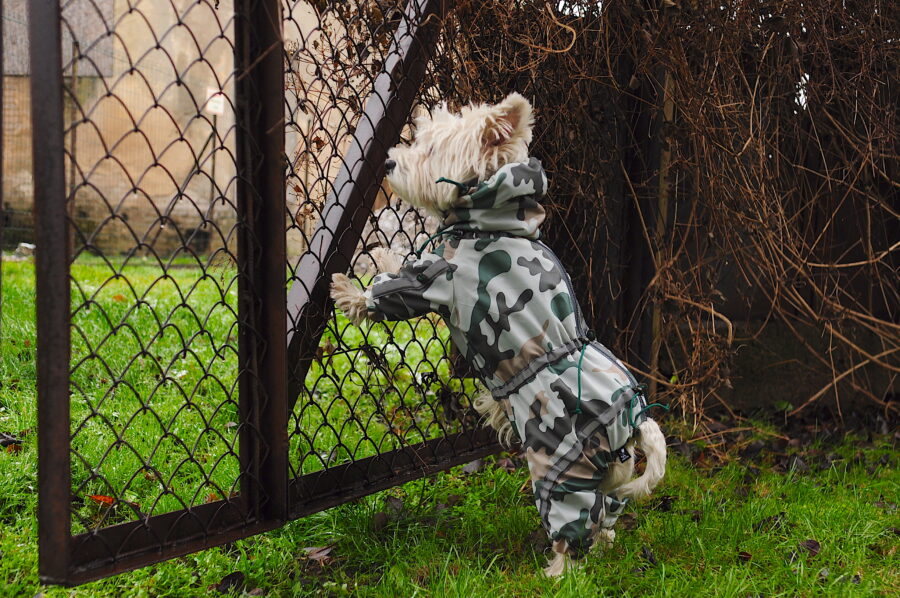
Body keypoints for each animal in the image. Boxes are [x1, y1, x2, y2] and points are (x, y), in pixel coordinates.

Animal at [326, 92, 664, 576]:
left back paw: (557, 574)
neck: (497, 216)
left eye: (430, 150)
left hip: (561, 467)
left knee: (575, 523)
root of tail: (637, 420)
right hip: (609, 475)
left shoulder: (435, 281)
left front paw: (348, 287)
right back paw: (598, 552)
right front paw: (379, 255)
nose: (388, 163)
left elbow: (393, 292)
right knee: (608, 515)